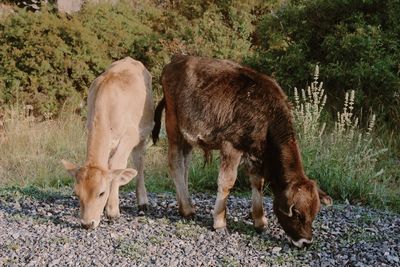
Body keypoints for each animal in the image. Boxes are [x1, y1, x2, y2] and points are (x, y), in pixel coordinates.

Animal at [61, 57, 154, 230]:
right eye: (77, 194)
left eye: (101, 193)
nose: (87, 224)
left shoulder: (130, 136)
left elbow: (117, 167)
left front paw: (112, 210)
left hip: (143, 134)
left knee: (139, 163)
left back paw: (142, 202)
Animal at [152, 55, 332, 249]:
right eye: (298, 214)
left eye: (314, 214)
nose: (306, 242)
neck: (267, 113)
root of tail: (177, 59)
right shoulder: (232, 145)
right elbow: (226, 182)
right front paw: (220, 222)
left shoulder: (256, 153)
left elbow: (257, 183)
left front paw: (260, 221)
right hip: (173, 125)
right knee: (175, 163)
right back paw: (186, 209)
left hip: (188, 137)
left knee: (185, 165)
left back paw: (185, 203)